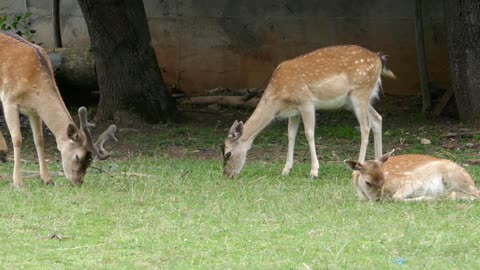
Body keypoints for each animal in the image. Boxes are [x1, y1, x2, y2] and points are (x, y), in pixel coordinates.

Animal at [0, 31, 116, 187]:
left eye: (90, 161)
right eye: (77, 157)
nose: (77, 182)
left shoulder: (34, 110)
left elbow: (39, 140)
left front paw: (47, 179)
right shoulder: (9, 100)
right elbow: (17, 139)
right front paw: (18, 182)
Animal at [221, 45, 394, 178]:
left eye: (228, 153)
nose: (227, 174)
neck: (278, 99)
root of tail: (379, 59)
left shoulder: (306, 102)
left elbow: (309, 133)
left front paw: (314, 172)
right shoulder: (294, 112)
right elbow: (291, 135)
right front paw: (286, 170)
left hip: (360, 92)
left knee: (365, 126)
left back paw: (357, 169)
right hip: (355, 99)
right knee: (377, 119)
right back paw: (379, 164)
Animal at [344, 151, 478, 201]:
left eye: (384, 180)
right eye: (368, 182)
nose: (377, 199)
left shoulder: (410, 180)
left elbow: (396, 197)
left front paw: (426, 198)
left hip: (456, 177)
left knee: (476, 193)